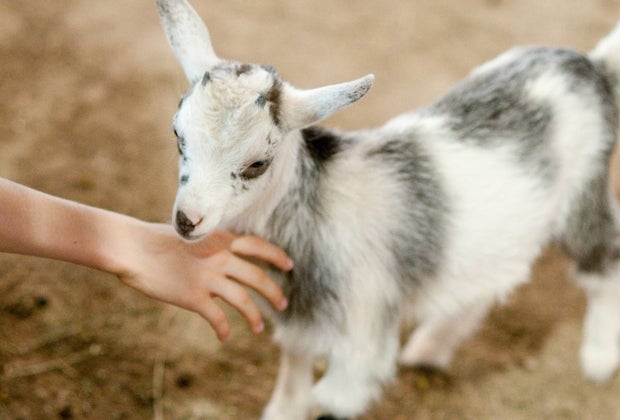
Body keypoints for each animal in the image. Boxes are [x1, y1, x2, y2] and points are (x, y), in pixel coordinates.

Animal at [156, 0, 620, 418]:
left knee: (604, 257)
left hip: (583, 192)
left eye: (257, 163)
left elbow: (327, 402)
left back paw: (598, 357)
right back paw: (430, 347)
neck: (319, 206)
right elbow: (291, 387)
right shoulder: (300, 326)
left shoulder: (361, 346)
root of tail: (593, 67)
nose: (187, 220)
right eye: (177, 134)